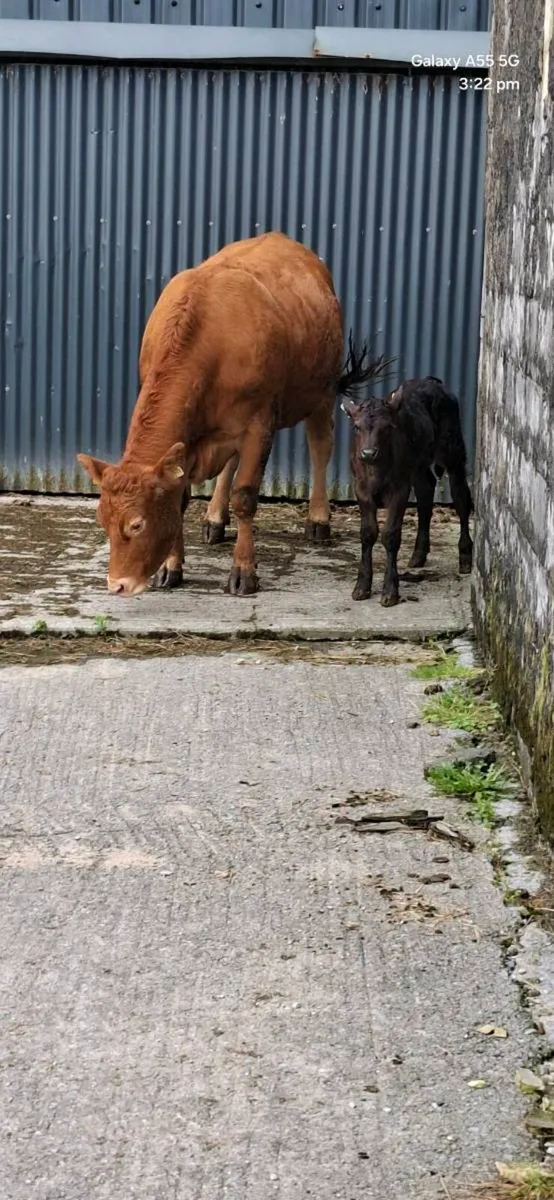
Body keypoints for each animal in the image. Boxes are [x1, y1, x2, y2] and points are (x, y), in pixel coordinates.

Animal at [77, 232, 388, 597]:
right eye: (102, 520)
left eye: (137, 524)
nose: (118, 584)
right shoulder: (190, 439)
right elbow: (181, 498)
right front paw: (171, 567)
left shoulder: (258, 425)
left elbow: (245, 498)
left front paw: (243, 571)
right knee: (230, 463)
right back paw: (214, 519)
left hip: (322, 391)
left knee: (319, 447)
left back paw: (318, 518)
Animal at [341, 375, 473, 607]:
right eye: (357, 427)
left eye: (387, 427)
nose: (368, 453)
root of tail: (431, 381)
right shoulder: (361, 489)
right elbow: (368, 533)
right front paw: (361, 587)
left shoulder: (399, 489)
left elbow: (391, 535)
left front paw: (390, 591)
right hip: (419, 464)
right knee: (425, 491)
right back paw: (418, 554)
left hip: (453, 447)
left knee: (460, 496)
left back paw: (465, 556)